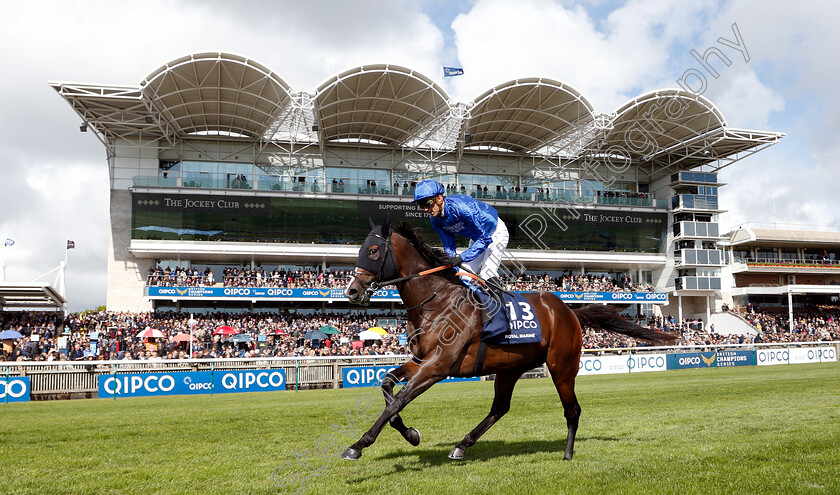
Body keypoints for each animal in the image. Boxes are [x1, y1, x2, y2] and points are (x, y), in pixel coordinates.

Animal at [342, 219, 676, 464]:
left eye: (373, 251)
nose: (352, 291)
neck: (436, 303)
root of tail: (569, 310)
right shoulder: (422, 361)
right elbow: (387, 384)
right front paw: (410, 433)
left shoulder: (437, 367)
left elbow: (398, 399)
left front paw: (358, 445)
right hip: (510, 368)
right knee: (500, 407)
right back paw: (462, 445)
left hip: (562, 366)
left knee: (572, 409)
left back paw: (567, 453)